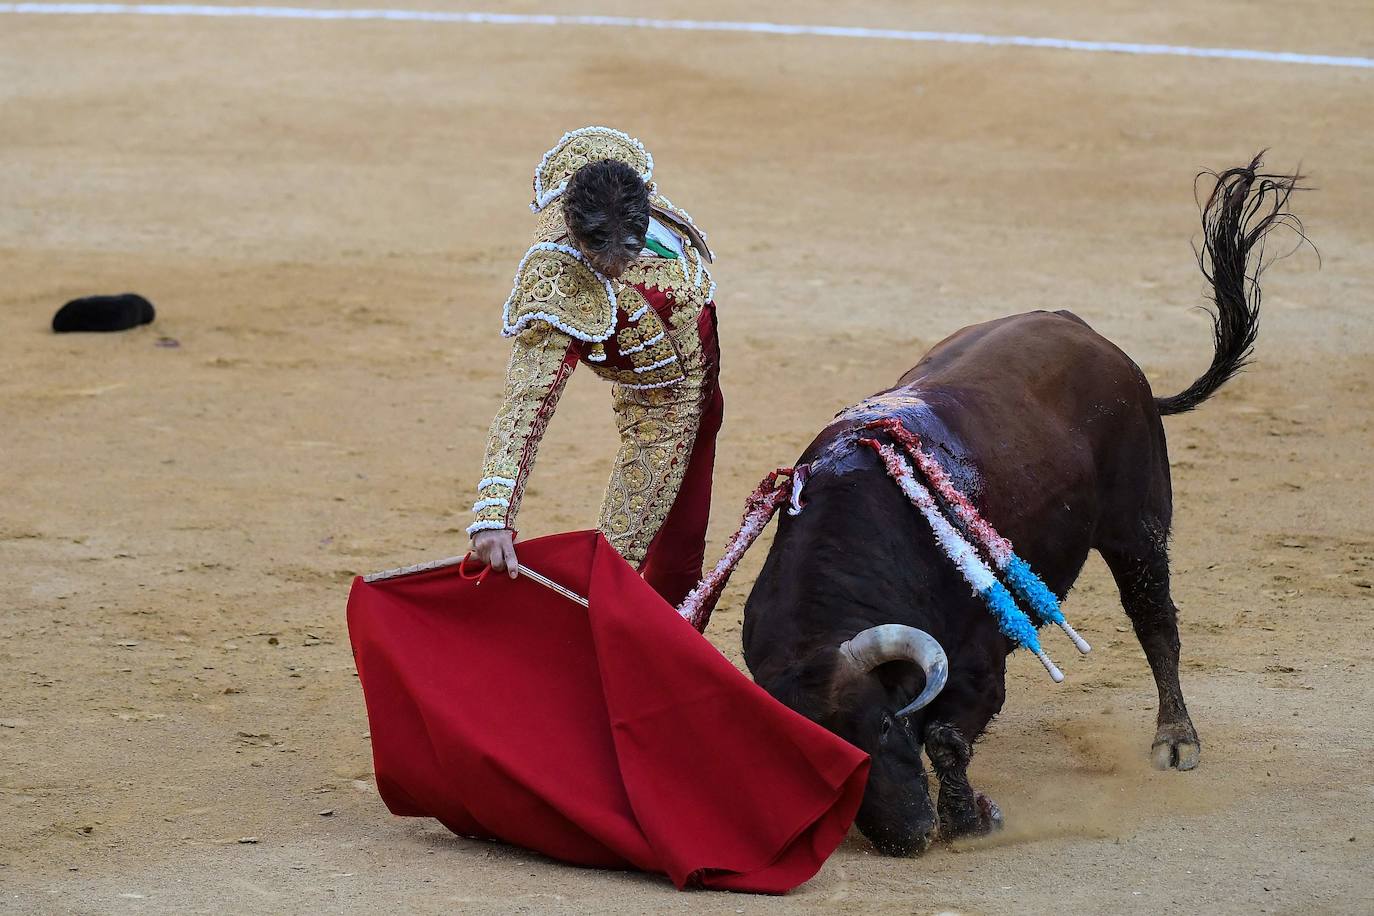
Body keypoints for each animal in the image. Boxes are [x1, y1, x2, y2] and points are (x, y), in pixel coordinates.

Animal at [741, 155, 1308, 851]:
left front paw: (971, 819)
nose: (907, 835)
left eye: (879, 726)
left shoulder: (980, 660)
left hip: (1138, 527)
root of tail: (1087, 333)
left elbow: (947, 736)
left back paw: (1176, 739)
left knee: (1155, 621)